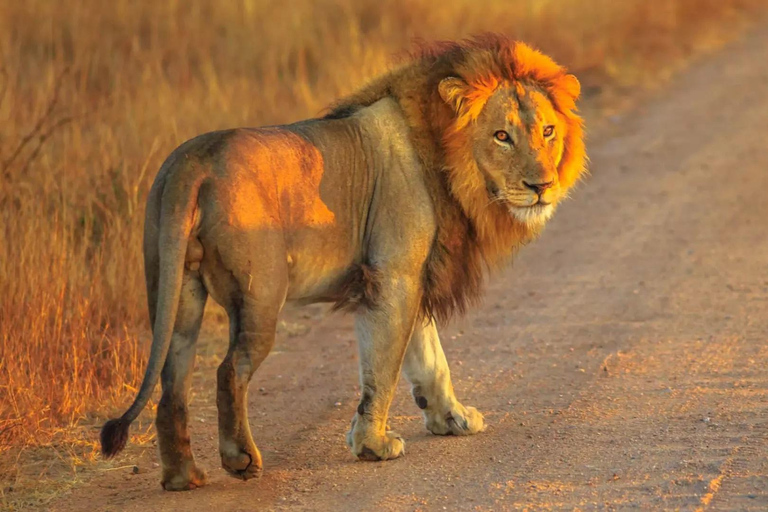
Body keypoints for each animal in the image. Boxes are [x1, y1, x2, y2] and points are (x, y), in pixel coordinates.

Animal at [99, 34, 584, 490]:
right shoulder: (393, 276)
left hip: (177, 290)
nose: (542, 186)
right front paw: (373, 445)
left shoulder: (414, 275)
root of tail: (193, 162)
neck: (447, 157)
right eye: (502, 136)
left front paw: (452, 418)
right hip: (260, 295)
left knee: (172, 381)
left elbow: (429, 357)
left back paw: (183, 476)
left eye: (548, 131)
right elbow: (384, 366)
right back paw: (240, 459)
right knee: (228, 371)